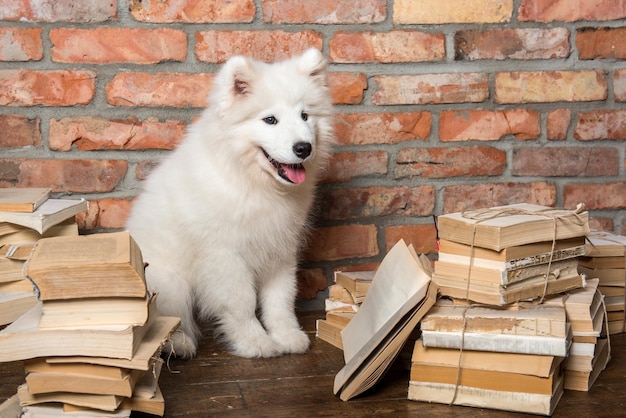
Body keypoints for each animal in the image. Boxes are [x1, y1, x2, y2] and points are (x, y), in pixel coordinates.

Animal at [124, 47, 334, 358]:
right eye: (270, 120)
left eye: (305, 116)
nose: (303, 148)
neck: (252, 183)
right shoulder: (225, 255)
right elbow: (241, 302)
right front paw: (255, 342)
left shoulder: (280, 249)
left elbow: (280, 299)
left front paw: (287, 335)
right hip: (170, 280)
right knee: (170, 318)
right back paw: (179, 343)